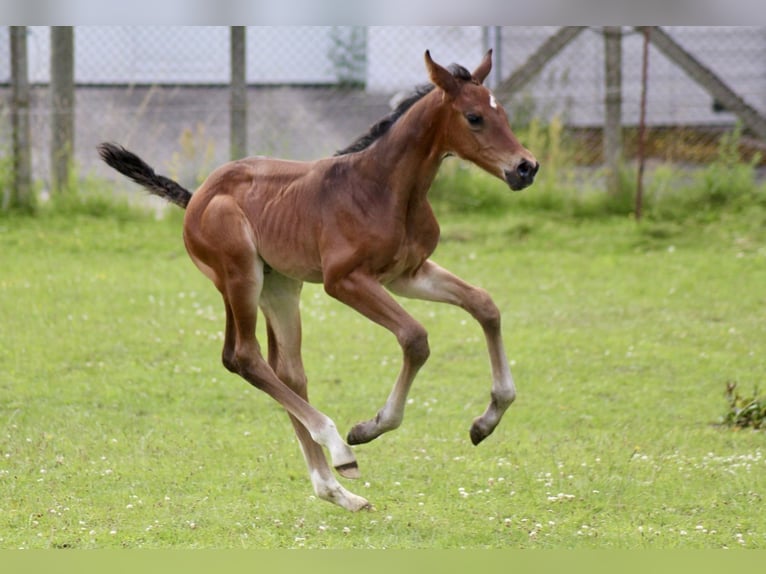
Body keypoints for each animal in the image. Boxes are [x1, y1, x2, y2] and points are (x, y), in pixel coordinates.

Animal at [97, 50, 540, 512]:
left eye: (504, 114)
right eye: (474, 117)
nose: (526, 167)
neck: (385, 188)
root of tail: (197, 196)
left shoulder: (407, 274)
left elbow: (484, 304)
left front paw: (487, 421)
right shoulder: (344, 281)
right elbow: (415, 337)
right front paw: (369, 427)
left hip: (279, 287)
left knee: (287, 370)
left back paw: (336, 491)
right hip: (240, 276)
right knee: (244, 357)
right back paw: (339, 450)